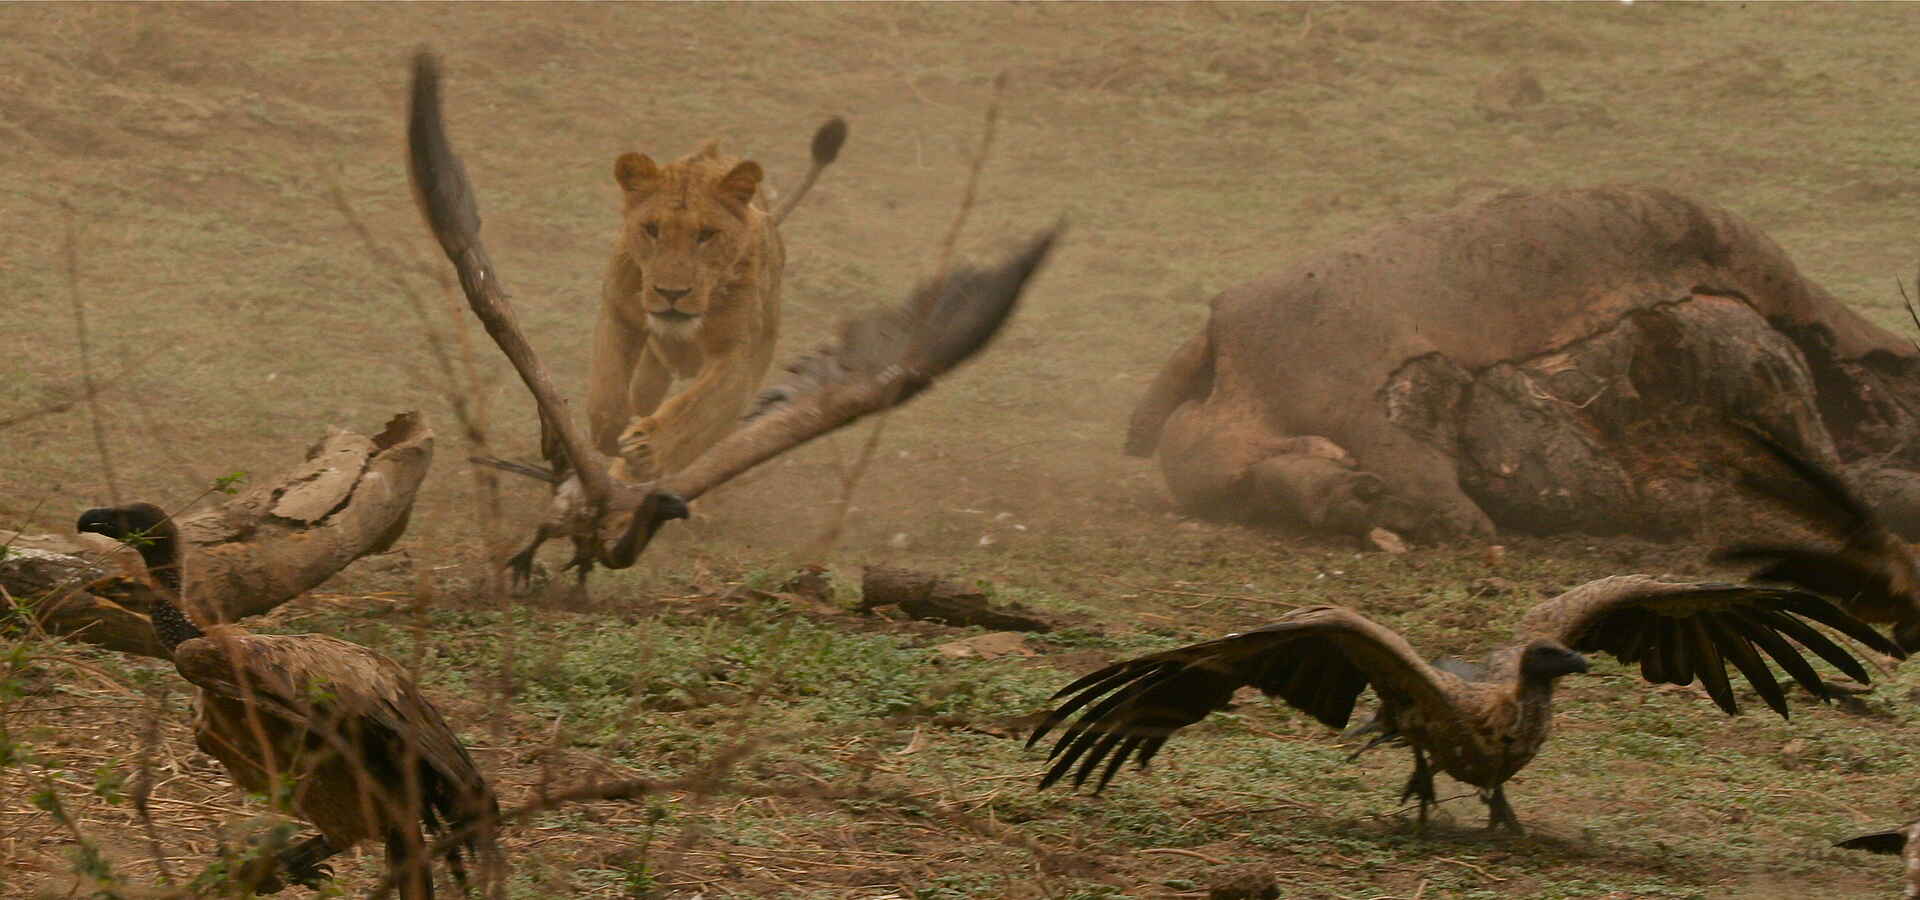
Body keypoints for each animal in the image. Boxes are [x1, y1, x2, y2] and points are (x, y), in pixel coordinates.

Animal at [577, 118, 847, 482]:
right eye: (652, 229)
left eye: (706, 235)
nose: (671, 293)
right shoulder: (619, 308)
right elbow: (605, 391)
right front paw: (609, 435)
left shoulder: (738, 356)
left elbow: (696, 409)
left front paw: (647, 449)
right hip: (655, 366)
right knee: (645, 389)